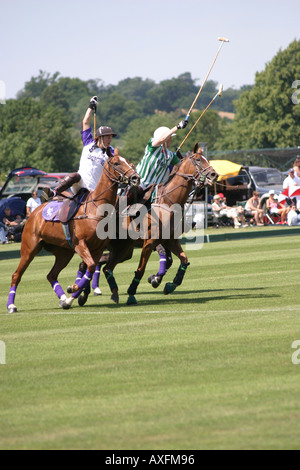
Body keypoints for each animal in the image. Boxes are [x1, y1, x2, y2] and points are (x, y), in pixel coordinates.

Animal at [6, 156, 141, 314]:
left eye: (129, 163)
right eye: (116, 163)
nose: (135, 178)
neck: (97, 208)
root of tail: (33, 213)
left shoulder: (98, 248)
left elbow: (90, 268)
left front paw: (73, 292)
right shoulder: (80, 244)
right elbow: (90, 266)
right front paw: (74, 288)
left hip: (64, 253)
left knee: (51, 275)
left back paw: (64, 299)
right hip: (29, 249)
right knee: (16, 275)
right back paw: (11, 305)